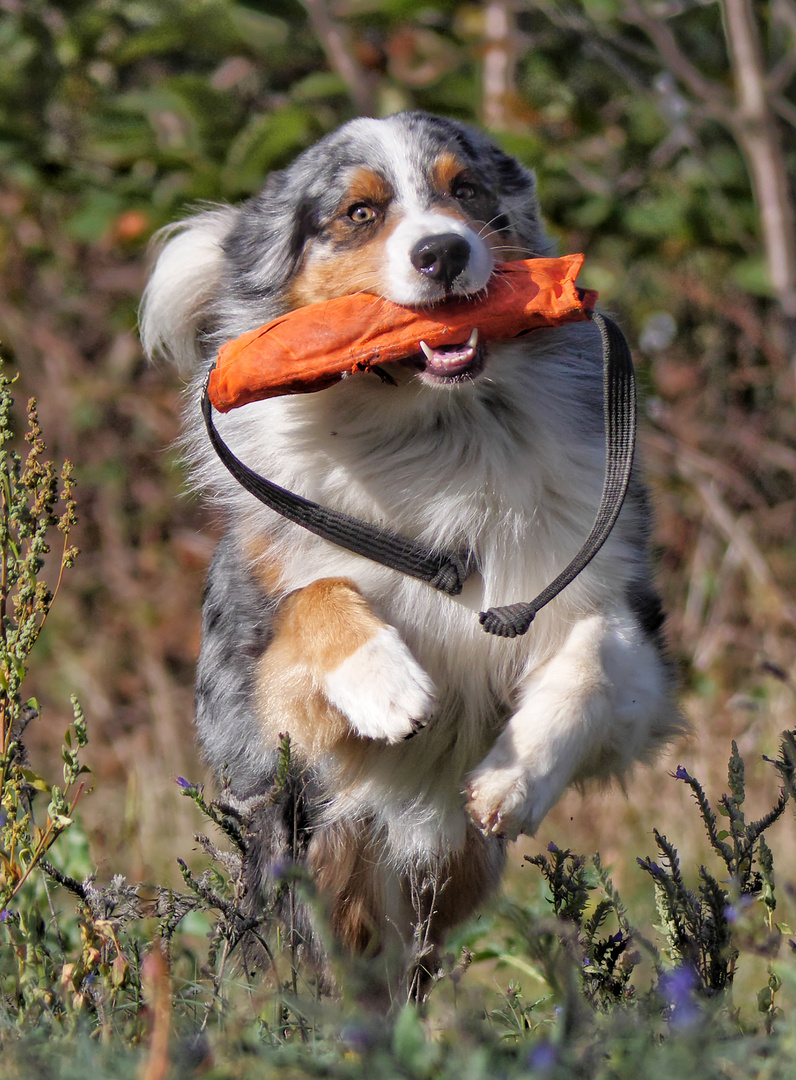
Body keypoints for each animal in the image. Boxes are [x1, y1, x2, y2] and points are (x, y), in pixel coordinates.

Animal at [138, 109, 682, 989]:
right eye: (359, 213)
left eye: (468, 190)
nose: (444, 252)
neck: (437, 436)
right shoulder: (258, 708)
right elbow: (320, 596)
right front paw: (385, 683)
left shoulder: (622, 616)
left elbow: (594, 650)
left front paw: (515, 775)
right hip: (317, 851)